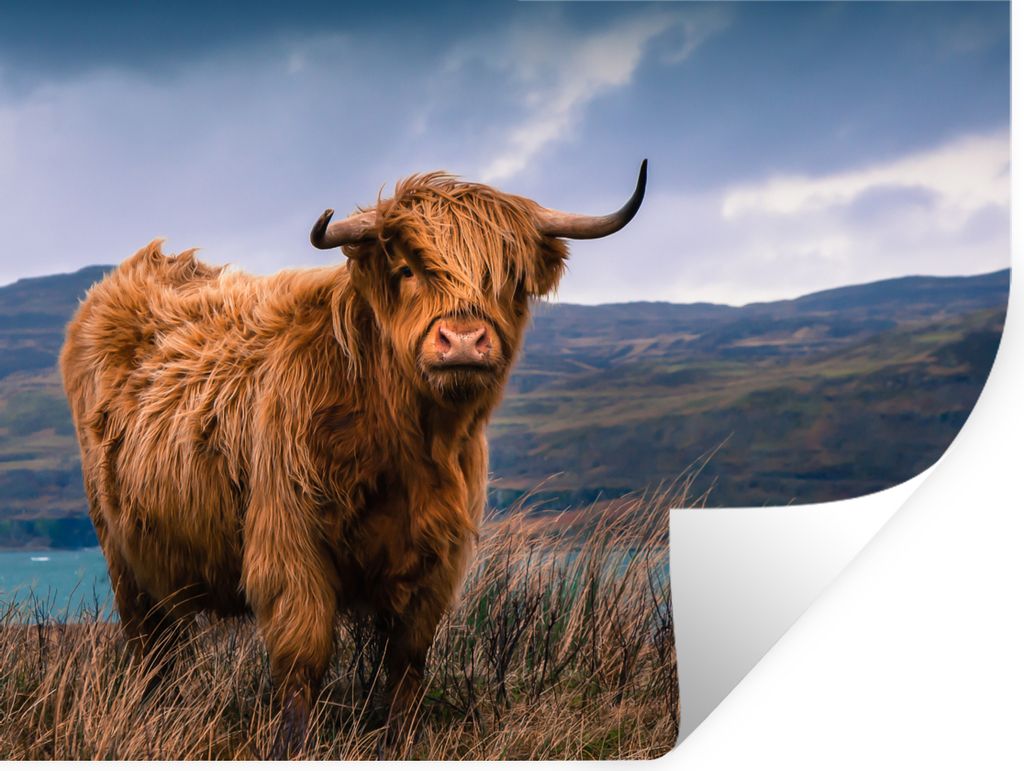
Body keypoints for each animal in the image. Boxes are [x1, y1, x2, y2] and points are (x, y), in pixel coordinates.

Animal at [59, 161, 647, 755]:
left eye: (508, 278)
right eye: (407, 269)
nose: (462, 341)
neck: (406, 444)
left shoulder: (438, 558)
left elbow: (408, 661)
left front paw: (402, 741)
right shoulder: (290, 546)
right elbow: (302, 659)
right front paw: (293, 747)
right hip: (123, 554)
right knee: (150, 646)